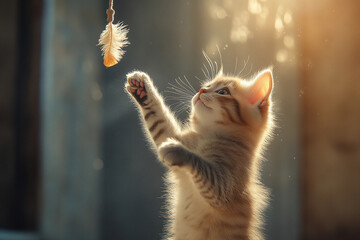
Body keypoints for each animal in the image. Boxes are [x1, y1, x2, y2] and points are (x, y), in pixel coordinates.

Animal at [125, 68, 274, 240]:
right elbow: (159, 122)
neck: (206, 137)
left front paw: (176, 150)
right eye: (207, 86)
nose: (201, 90)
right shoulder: (173, 138)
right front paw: (142, 88)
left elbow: (200, 163)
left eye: (223, 92)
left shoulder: (223, 188)